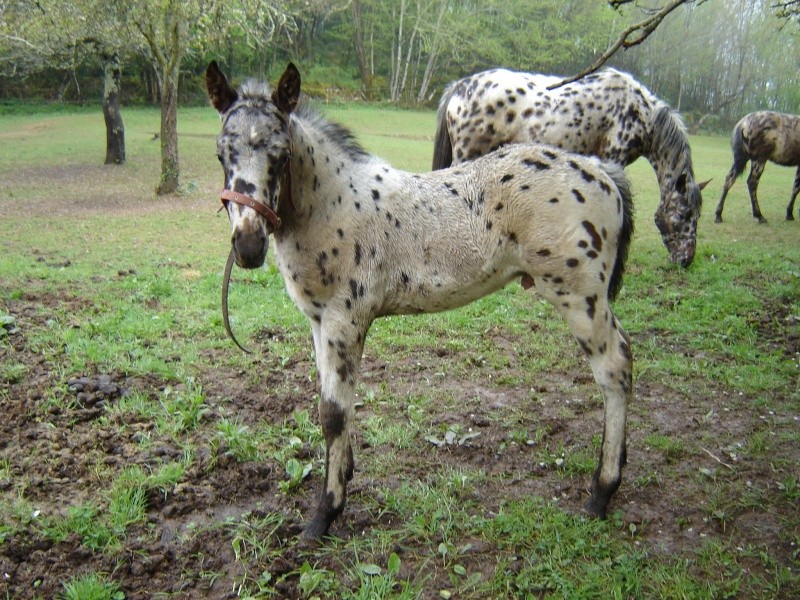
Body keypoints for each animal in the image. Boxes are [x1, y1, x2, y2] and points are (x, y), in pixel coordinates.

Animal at [208, 61, 636, 540]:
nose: (247, 247)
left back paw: (601, 492)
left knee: (615, 368)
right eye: (221, 155)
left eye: (281, 155)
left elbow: (332, 412)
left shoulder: (344, 320)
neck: (330, 204)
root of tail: (602, 170)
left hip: (580, 297)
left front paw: (325, 513)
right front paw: (345, 473)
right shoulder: (318, 323)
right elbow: (333, 405)